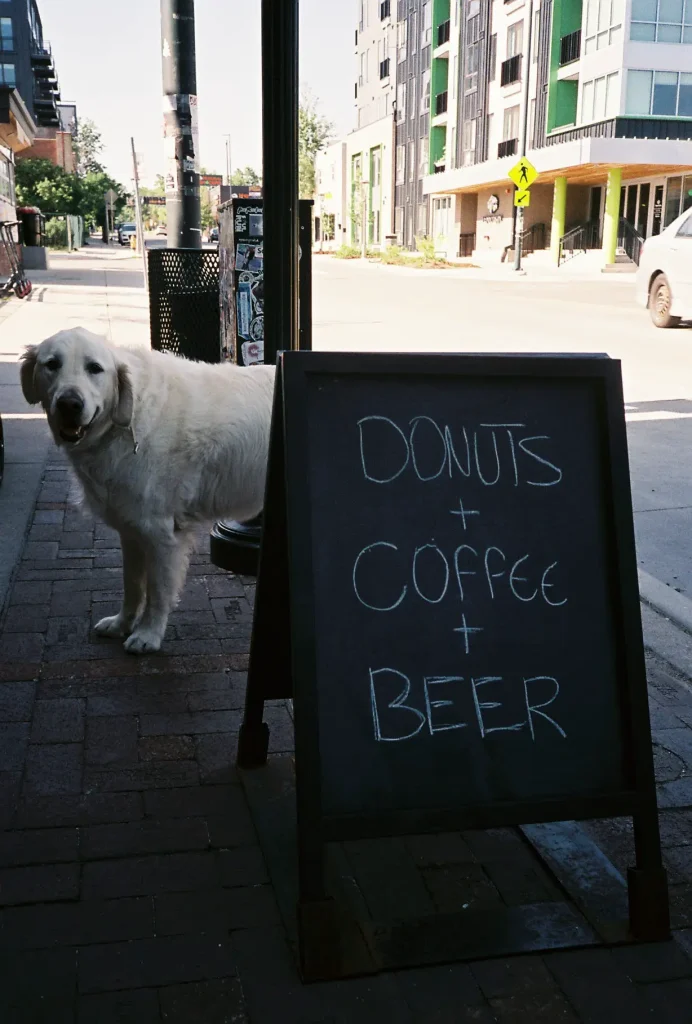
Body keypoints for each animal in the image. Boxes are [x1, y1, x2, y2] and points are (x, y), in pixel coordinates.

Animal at [19, 327, 272, 655]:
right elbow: (132, 585)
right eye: (52, 364)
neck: (128, 419)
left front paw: (148, 635)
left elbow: (157, 591)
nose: (69, 404)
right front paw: (121, 624)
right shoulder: (131, 529)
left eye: (94, 368)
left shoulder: (161, 533)